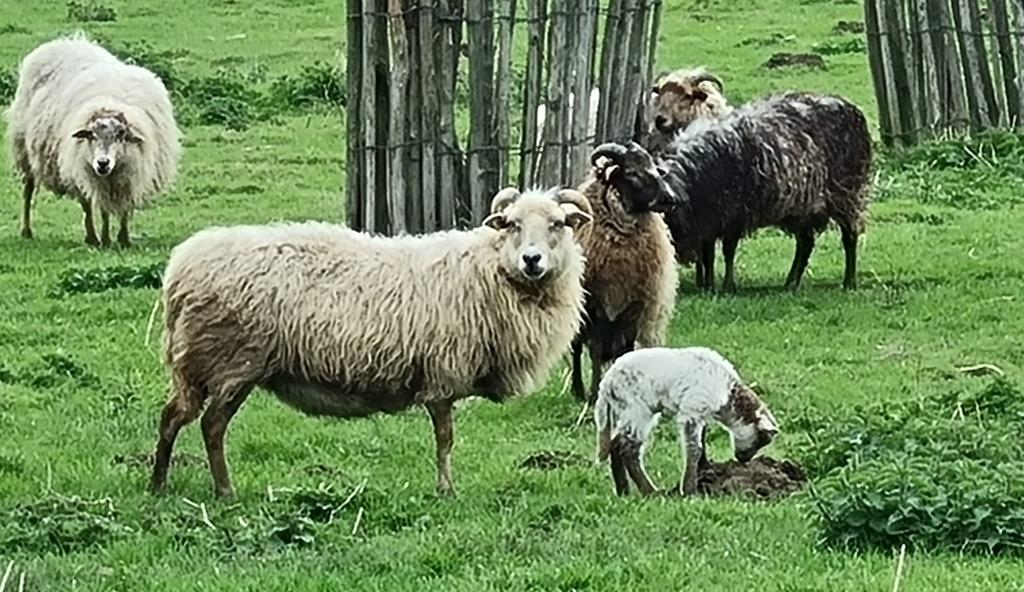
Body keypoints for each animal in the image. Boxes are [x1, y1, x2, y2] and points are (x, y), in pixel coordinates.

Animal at [6, 34, 180, 247]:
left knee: (85, 202)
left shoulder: (130, 175)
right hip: (27, 151)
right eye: (91, 135)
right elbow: (103, 211)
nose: (102, 163)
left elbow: (125, 208)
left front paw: (123, 239)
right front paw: (105, 239)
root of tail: (64, 42)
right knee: (30, 192)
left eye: (121, 134)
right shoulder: (96, 175)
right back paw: (29, 231)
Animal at [149, 186, 594, 498]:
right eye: (513, 223)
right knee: (208, 425)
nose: (532, 260)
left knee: (175, 417)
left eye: (558, 223)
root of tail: (179, 269)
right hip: (230, 362)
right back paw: (221, 491)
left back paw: (160, 485)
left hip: (209, 367)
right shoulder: (443, 375)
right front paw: (447, 489)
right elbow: (445, 439)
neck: (490, 270)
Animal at [569, 173, 677, 404]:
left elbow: (627, 349)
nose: (670, 198)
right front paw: (594, 393)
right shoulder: (596, 308)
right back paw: (578, 390)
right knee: (577, 349)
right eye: (633, 174)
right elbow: (595, 350)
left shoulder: (635, 306)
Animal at [591, 92, 872, 292]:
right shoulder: (707, 220)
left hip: (848, 193)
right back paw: (790, 283)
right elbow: (707, 255)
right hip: (802, 207)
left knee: (849, 237)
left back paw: (849, 282)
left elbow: (727, 251)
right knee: (806, 244)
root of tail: (851, 108)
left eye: (645, 173)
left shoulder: (733, 214)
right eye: (630, 175)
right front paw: (707, 286)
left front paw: (726, 286)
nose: (668, 199)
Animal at [595, 346, 779, 496]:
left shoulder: (701, 414)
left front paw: (705, 468)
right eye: (762, 439)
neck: (728, 395)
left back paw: (623, 491)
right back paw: (651, 492)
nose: (744, 460)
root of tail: (606, 384)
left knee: (615, 444)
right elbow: (694, 449)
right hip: (637, 410)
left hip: (626, 411)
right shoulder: (692, 411)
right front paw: (689, 490)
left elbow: (701, 442)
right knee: (629, 450)